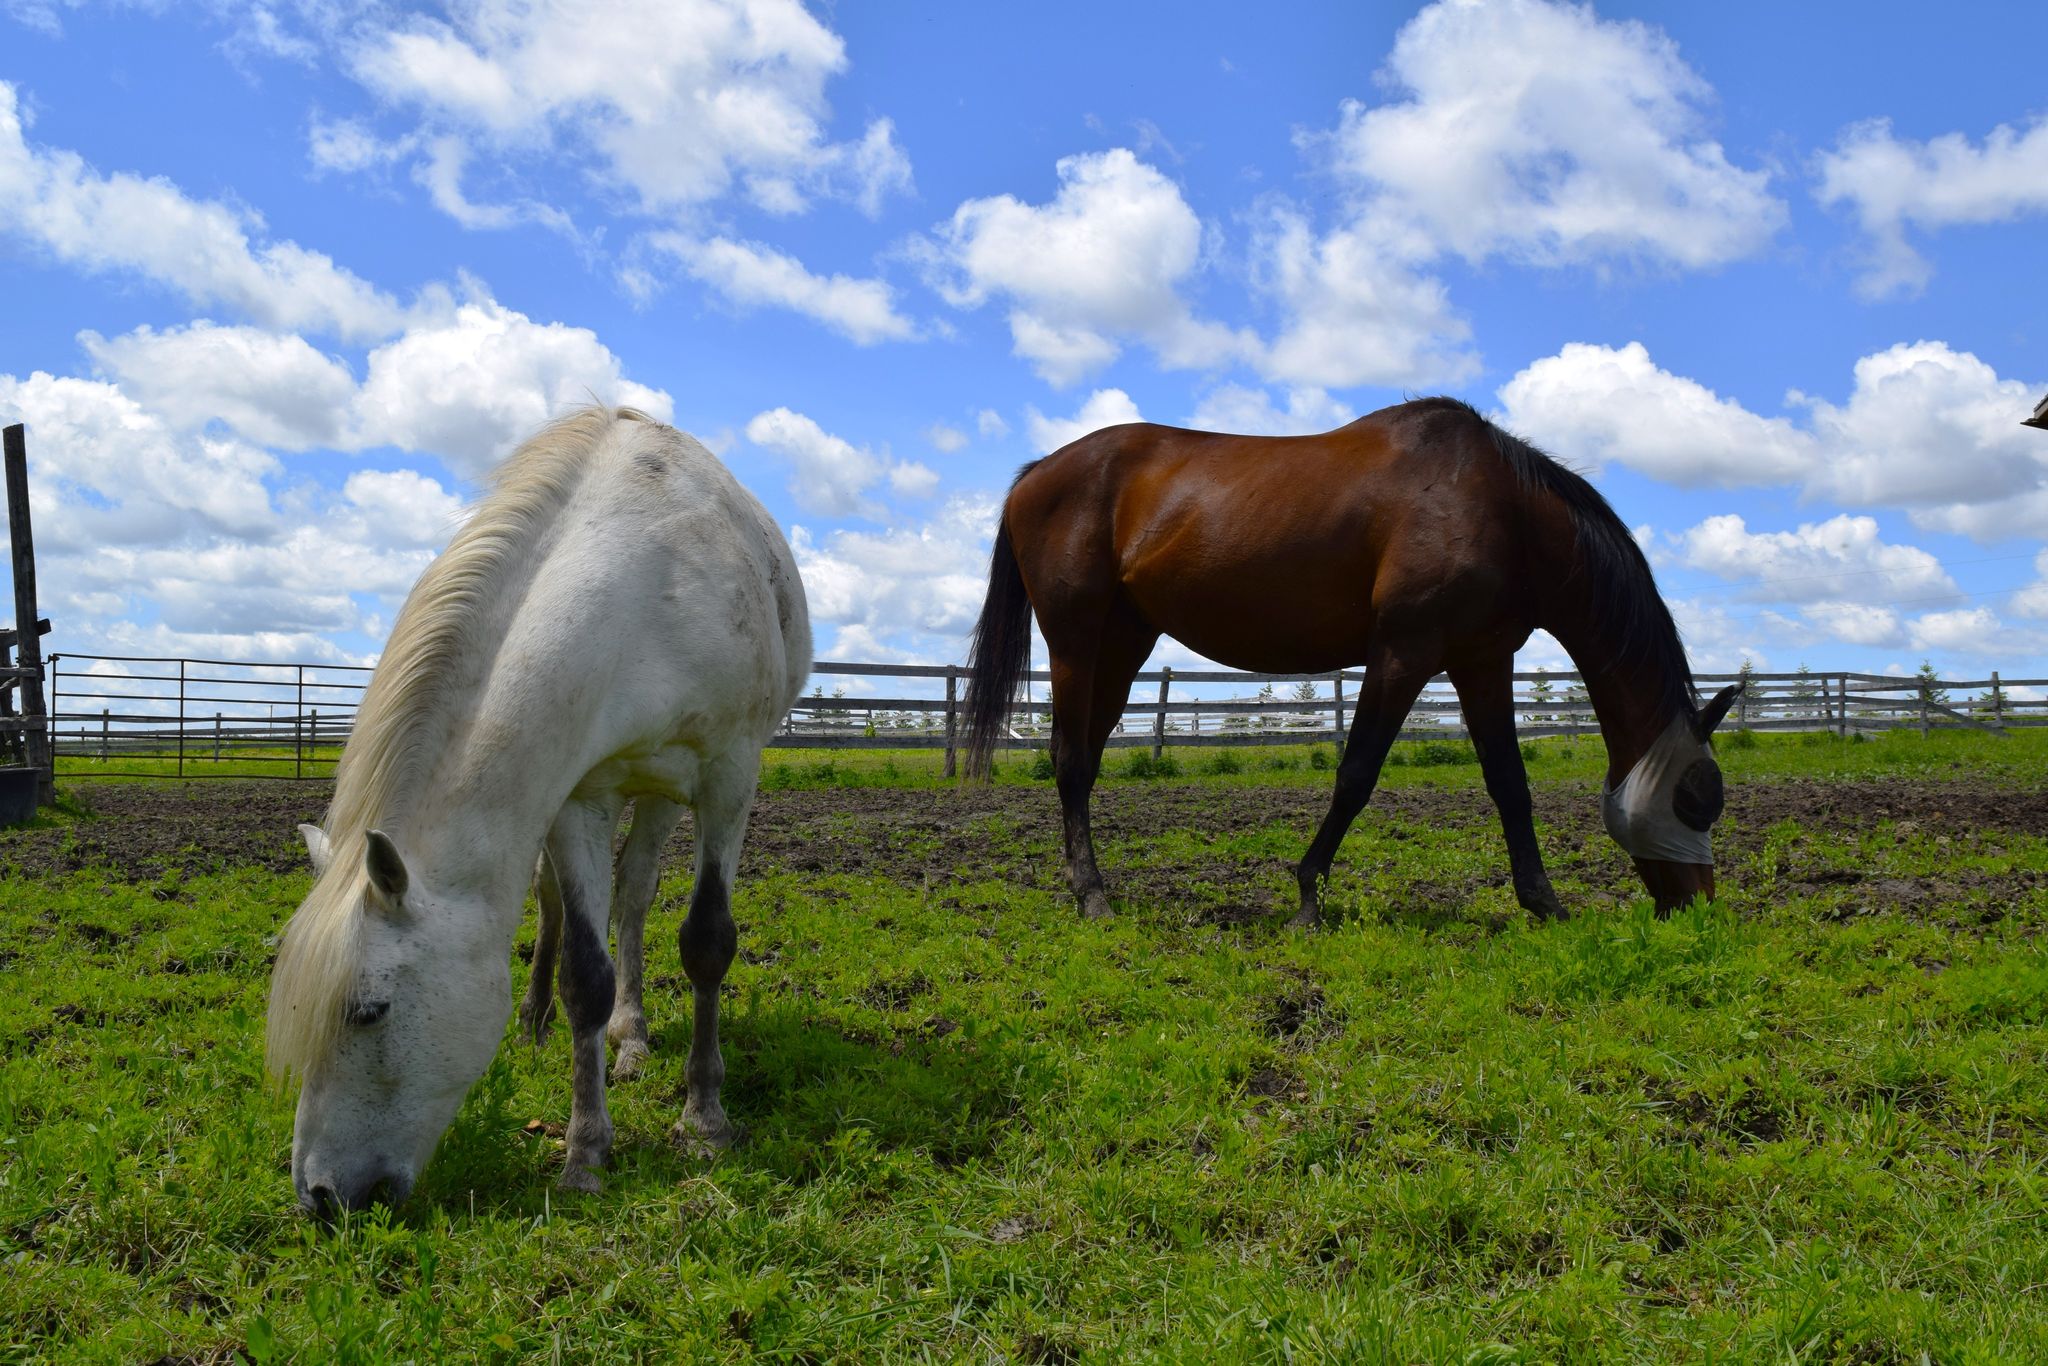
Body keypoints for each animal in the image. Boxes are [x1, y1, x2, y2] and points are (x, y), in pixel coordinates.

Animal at [268, 405, 811, 1220]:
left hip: (664, 794)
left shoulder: (728, 776)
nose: (321, 1197)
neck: (649, 599)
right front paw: (585, 1152)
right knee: (566, 903)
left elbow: (707, 941)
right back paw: (546, 1023)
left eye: (369, 1011)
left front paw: (706, 1118)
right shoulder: (579, 795)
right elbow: (585, 974)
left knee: (637, 895)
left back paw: (634, 1039)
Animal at [966, 397, 1736, 929]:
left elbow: (1509, 784)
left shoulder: (1482, 661)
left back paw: (1089, 884)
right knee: (1070, 760)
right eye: (1698, 800)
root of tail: (1036, 475)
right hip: (1074, 643)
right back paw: (1092, 897)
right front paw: (1308, 896)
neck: (1500, 508)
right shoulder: (1403, 652)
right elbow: (1356, 773)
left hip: (1124, 645)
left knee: (1086, 759)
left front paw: (1544, 903)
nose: (1699, 908)